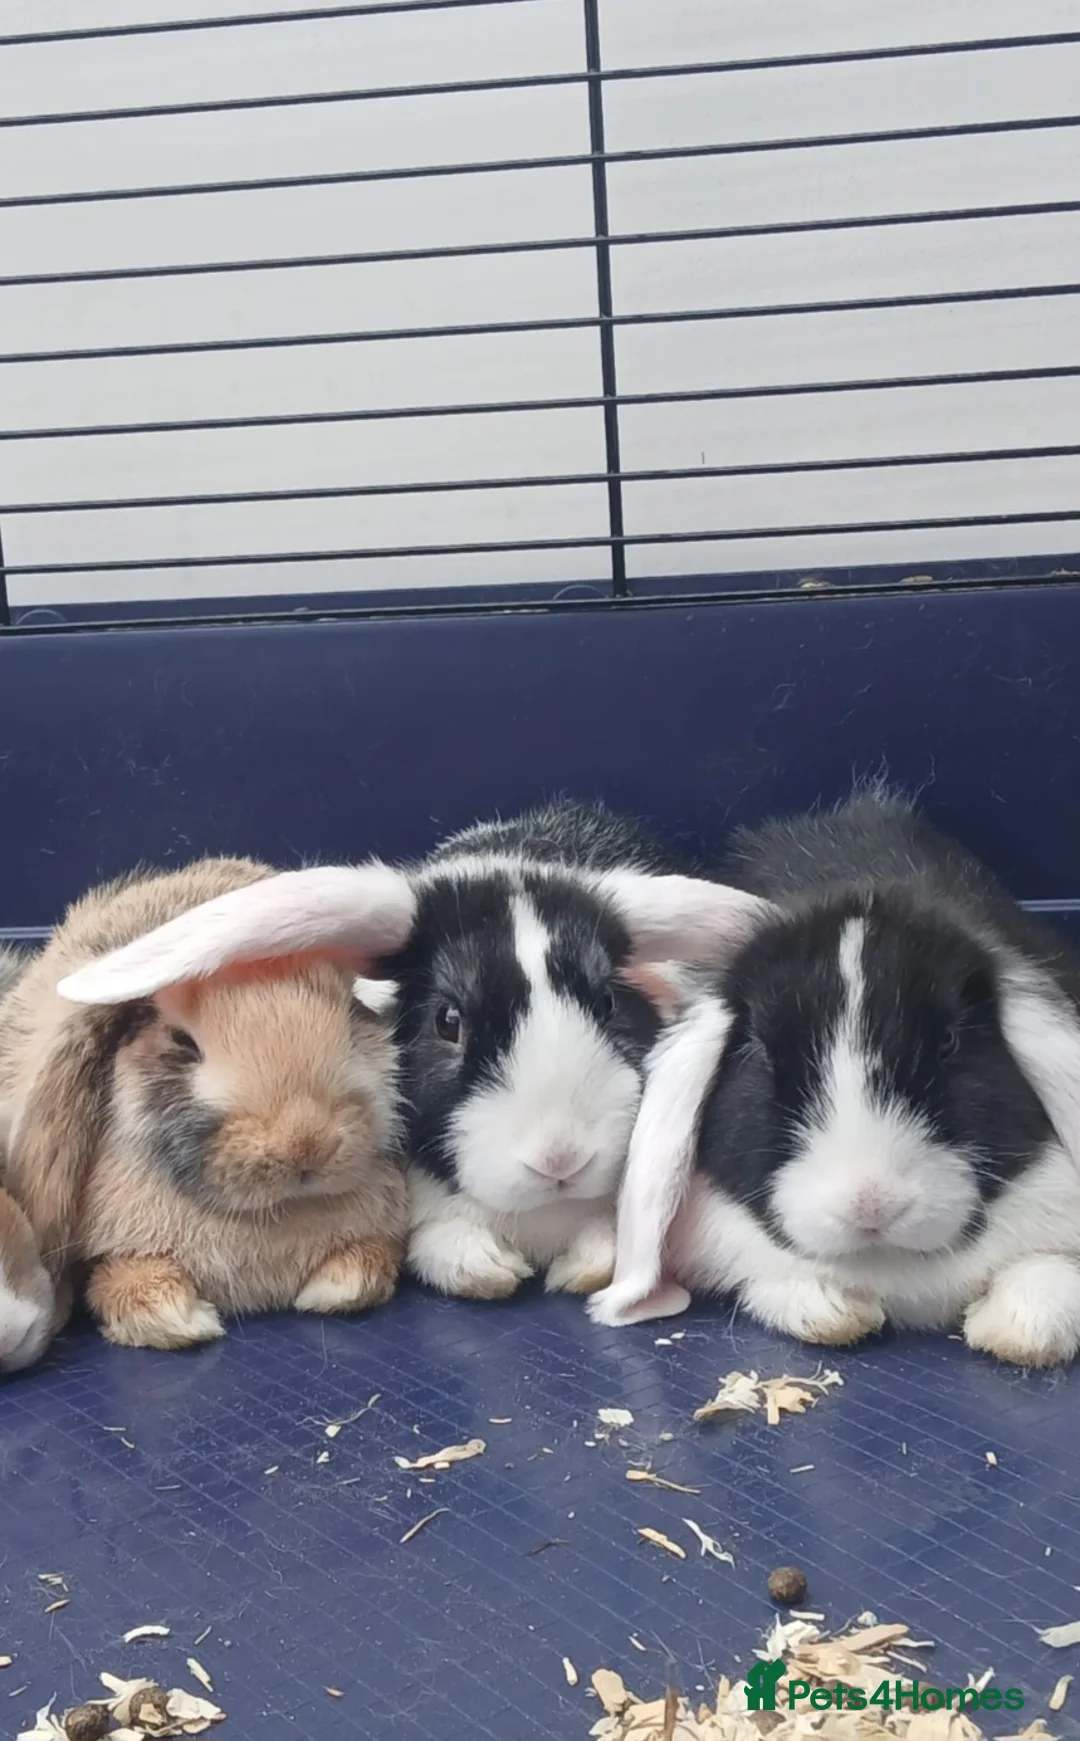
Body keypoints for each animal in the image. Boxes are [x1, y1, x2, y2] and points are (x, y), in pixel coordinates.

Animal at [1, 856, 416, 1352]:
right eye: (182, 1043)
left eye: (352, 1013)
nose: (305, 1144)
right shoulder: (117, 1255)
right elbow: (125, 1280)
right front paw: (180, 1319)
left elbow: (369, 1260)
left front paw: (328, 1291)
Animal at [56, 804, 772, 1306]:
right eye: (447, 1020)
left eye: (605, 1001)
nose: (560, 1159)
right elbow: (445, 1248)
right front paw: (494, 1268)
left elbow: (601, 1245)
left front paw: (578, 1269)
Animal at [589, 789, 1080, 1367]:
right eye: (761, 1050)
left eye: (950, 1042)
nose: (869, 1205)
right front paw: (838, 1314)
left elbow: (1047, 1279)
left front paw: (1009, 1331)